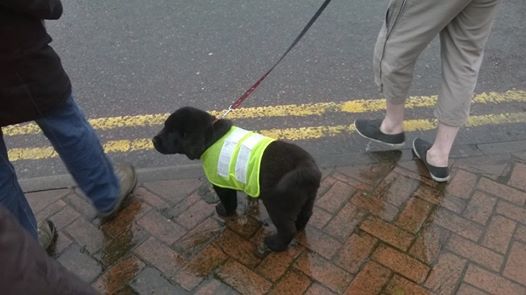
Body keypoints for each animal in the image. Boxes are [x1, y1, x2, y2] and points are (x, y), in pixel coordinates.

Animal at [153, 107, 322, 253]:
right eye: (164, 127)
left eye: (170, 131)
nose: (153, 140)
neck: (211, 136)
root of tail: (308, 168)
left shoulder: (221, 183)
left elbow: (229, 201)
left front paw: (224, 211)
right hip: (308, 198)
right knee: (306, 215)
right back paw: (299, 228)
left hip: (278, 204)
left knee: (287, 229)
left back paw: (274, 244)